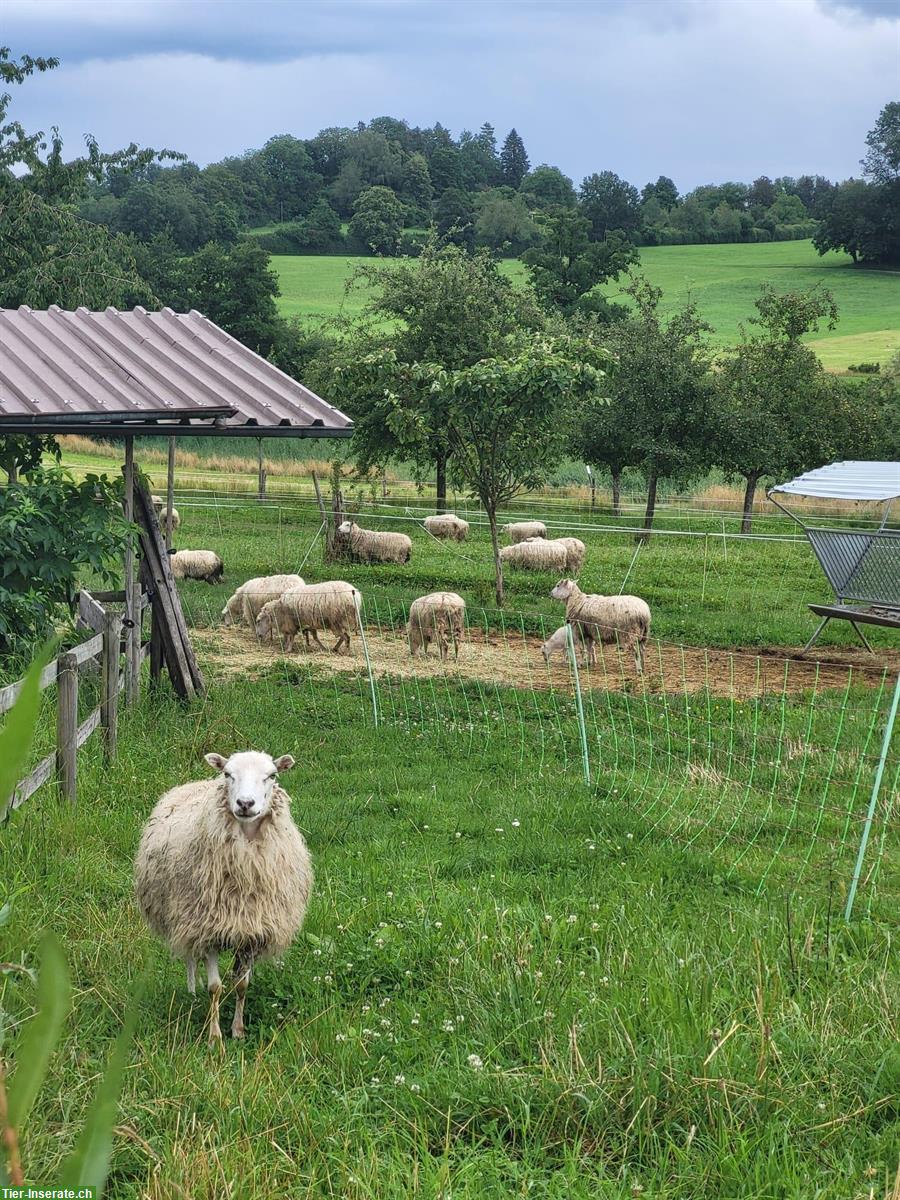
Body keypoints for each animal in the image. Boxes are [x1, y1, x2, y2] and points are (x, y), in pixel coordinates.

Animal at [133, 748, 314, 1051]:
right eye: (228, 774)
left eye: (271, 775)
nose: (245, 803)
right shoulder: (207, 929)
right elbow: (215, 987)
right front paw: (214, 1037)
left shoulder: (252, 932)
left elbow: (241, 985)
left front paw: (238, 1030)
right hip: (184, 916)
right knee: (190, 958)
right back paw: (192, 991)